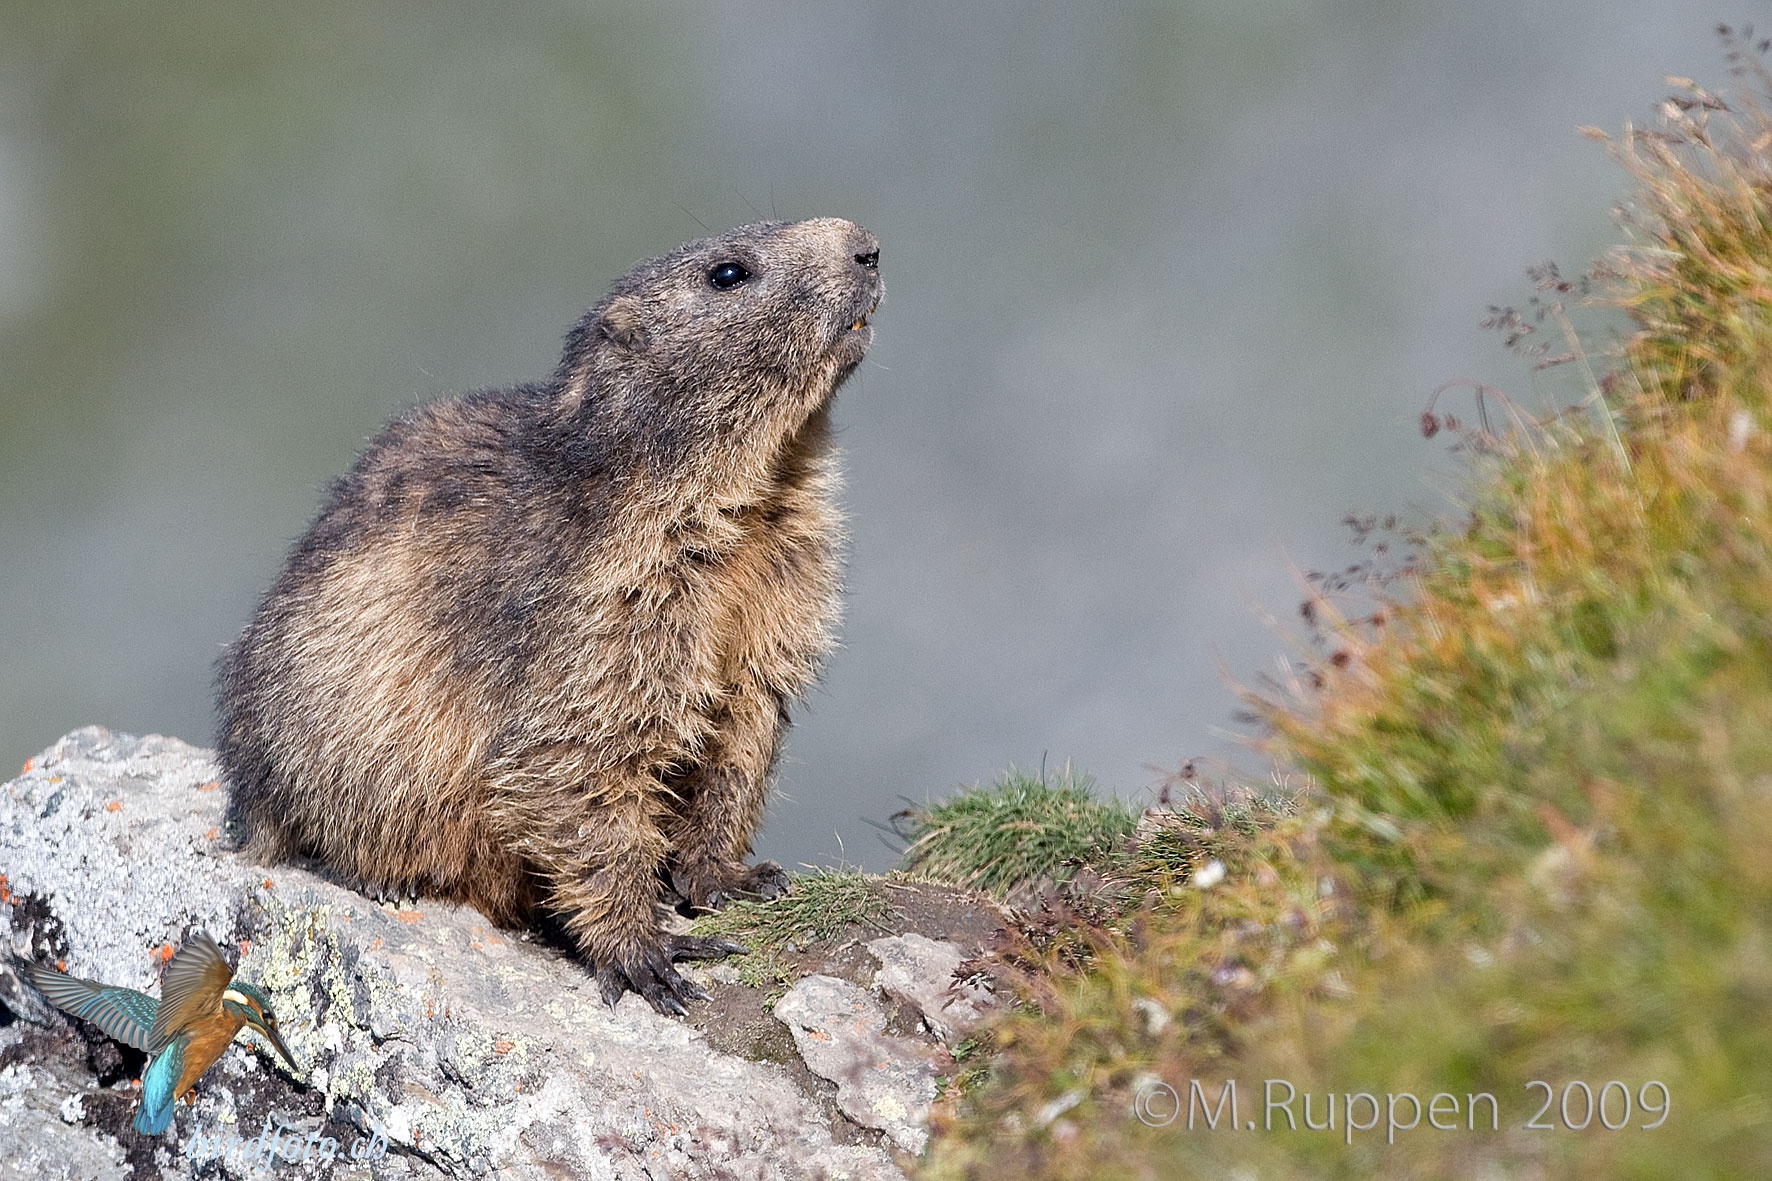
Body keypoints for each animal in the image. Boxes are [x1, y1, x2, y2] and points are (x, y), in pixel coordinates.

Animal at [217, 218, 881, 1014]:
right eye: (727, 273)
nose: (867, 243)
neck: (752, 502)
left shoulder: (786, 583)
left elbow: (744, 725)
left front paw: (729, 877)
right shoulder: (603, 600)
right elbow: (573, 756)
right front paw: (646, 952)